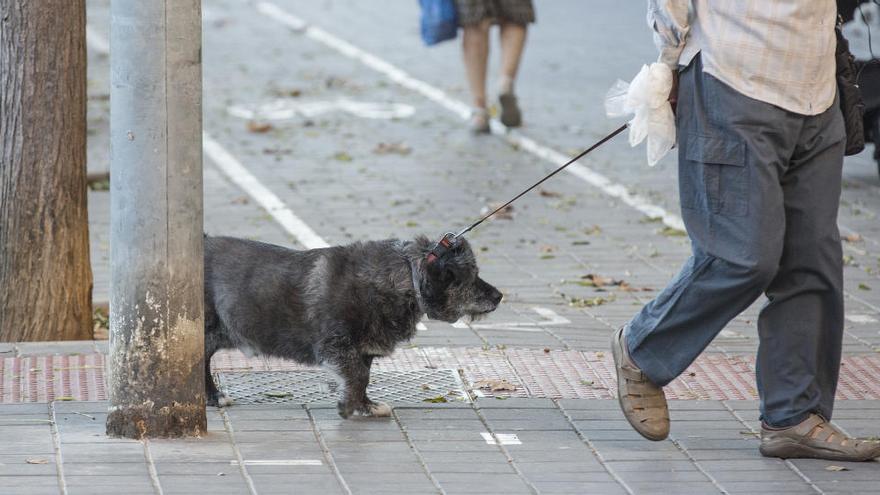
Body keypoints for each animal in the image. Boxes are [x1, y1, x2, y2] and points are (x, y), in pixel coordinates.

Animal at [202, 235, 498, 418]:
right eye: (471, 277)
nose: (499, 296)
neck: (404, 276)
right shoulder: (336, 347)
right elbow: (356, 377)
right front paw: (348, 406)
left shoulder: (362, 352)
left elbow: (363, 378)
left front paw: (365, 406)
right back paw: (213, 396)